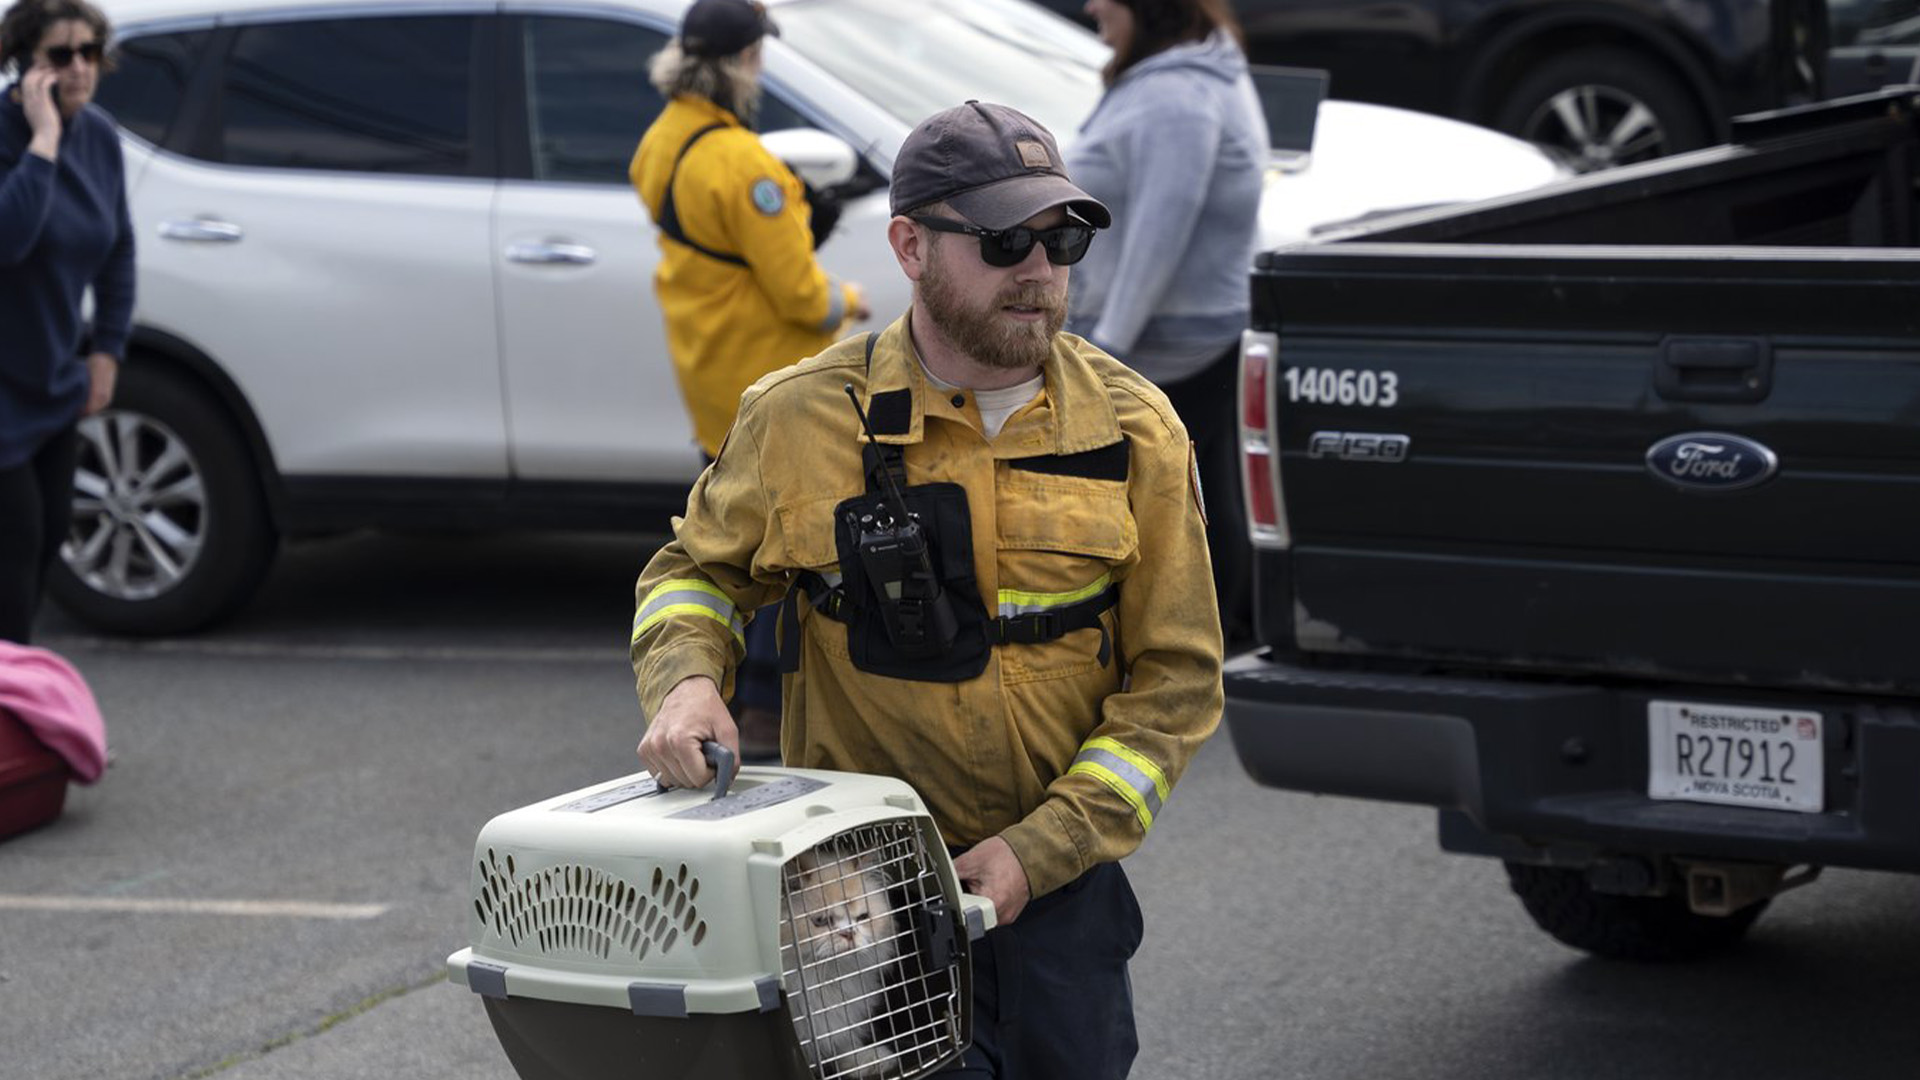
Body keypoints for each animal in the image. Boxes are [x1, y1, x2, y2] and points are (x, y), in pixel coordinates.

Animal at [445, 737, 990, 1076]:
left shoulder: (837, 1022)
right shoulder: (806, 1031)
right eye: (820, 921)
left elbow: (847, 1050)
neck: (829, 984)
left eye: (862, 917)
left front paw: (873, 1059)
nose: (848, 935)